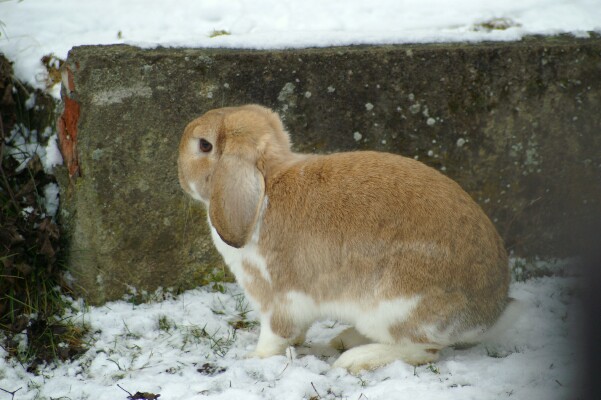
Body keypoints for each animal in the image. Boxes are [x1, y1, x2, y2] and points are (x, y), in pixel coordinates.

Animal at [176, 104, 508, 374]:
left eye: (204, 145)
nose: (178, 168)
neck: (266, 186)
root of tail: (489, 314)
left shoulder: (278, 298)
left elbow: (276, 335)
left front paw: (253, 358)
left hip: (396, 305)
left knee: (423, 350)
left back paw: (355, 358)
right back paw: (346, 339)